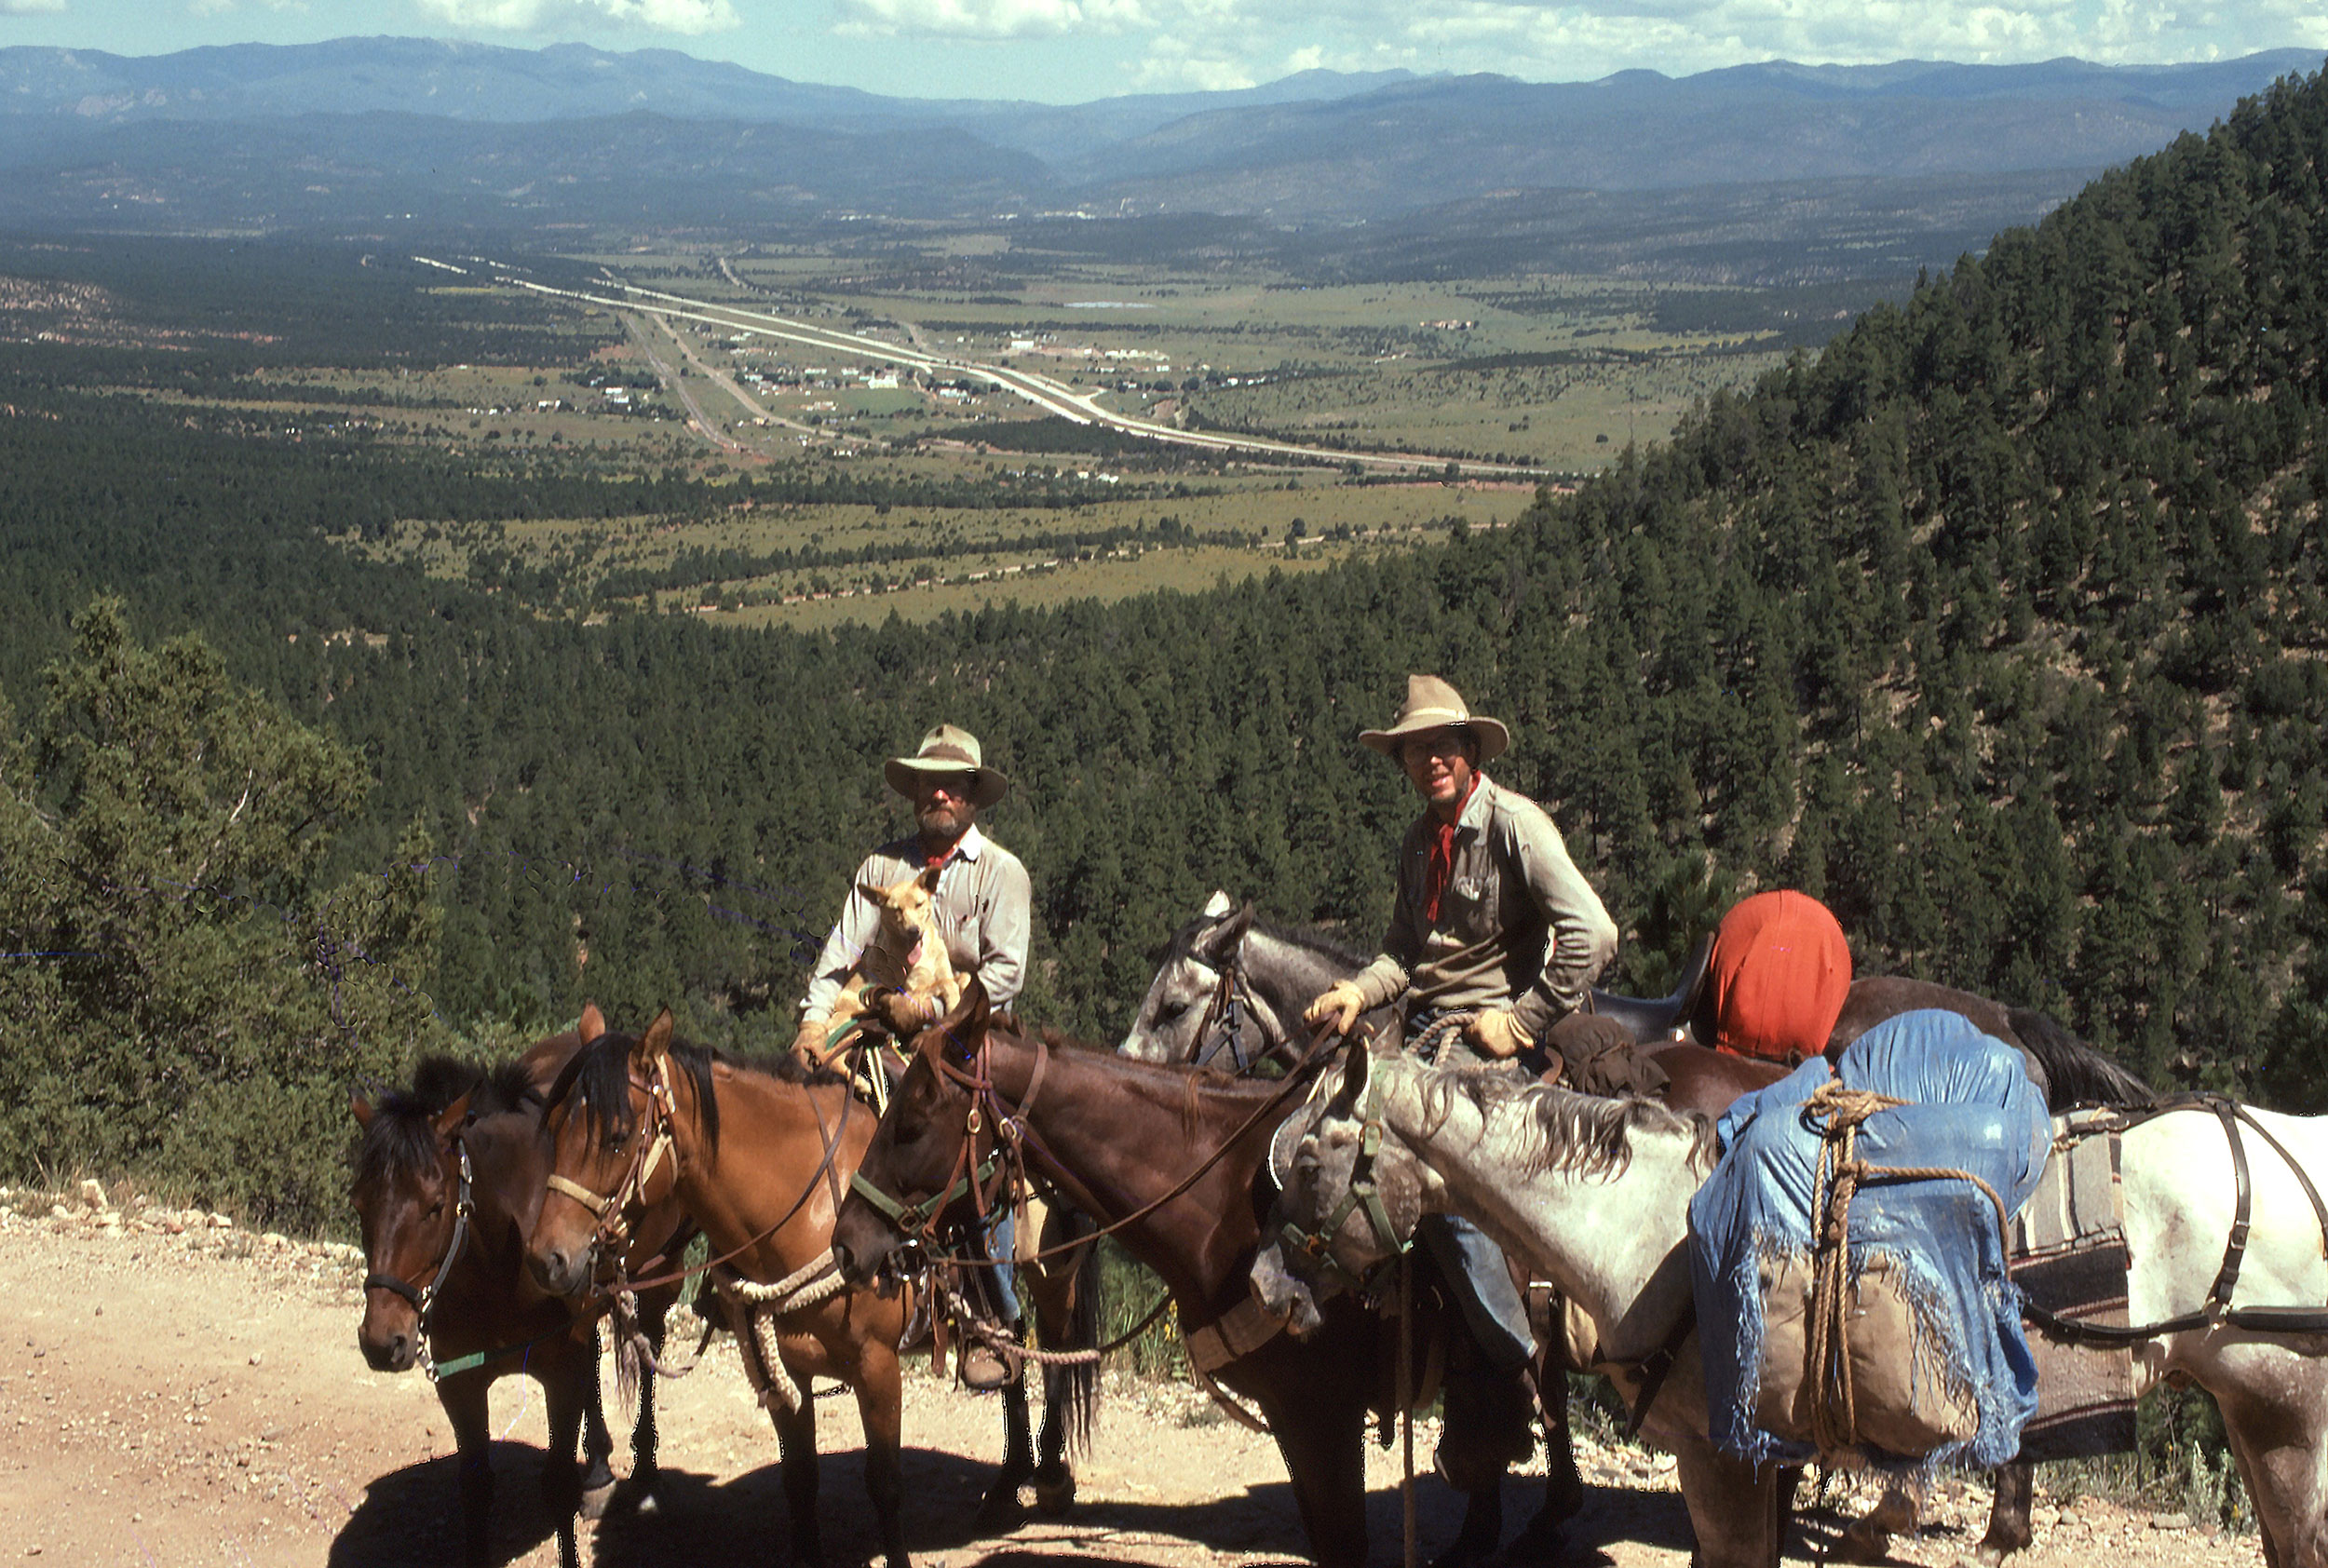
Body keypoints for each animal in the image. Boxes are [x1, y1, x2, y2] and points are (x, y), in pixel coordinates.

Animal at [346, 1009, 689, 1554]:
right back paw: (599, 1468)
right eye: (359, 1204)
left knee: (650, 1350)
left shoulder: (560, 1372)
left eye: (435, 1206)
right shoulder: (461, 1382)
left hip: (661, 1278)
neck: (497, 1261)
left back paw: (645, 1475)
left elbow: (558, 1484)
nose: (382, 1340)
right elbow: (475, 1486)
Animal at [1257, 1037, 2328, 1563]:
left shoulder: (1721, 1456)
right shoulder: (1758, 1459)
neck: (1648, 1226)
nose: (1267, 1288)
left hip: (2278, 1410)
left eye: (1308, 1162)